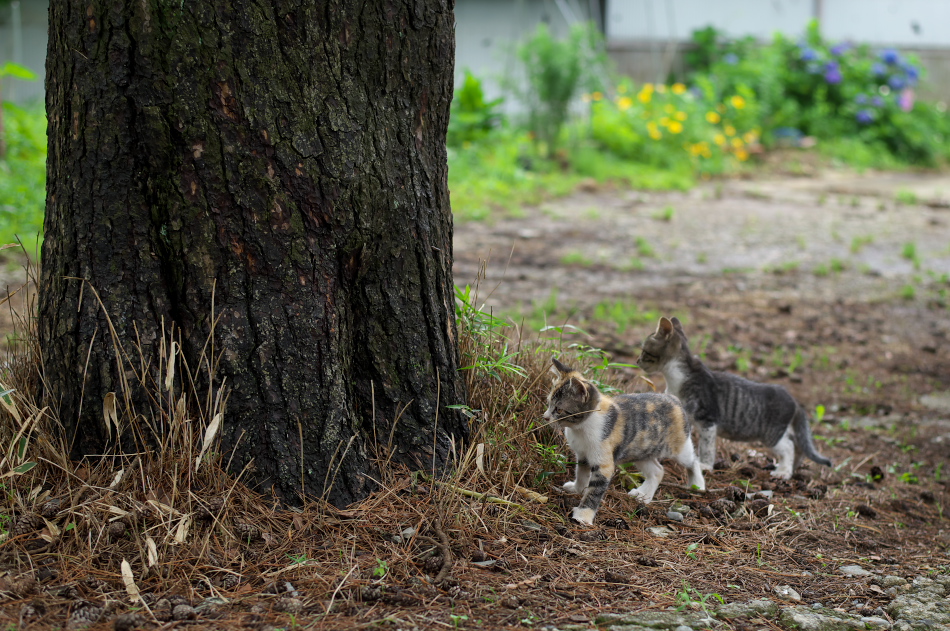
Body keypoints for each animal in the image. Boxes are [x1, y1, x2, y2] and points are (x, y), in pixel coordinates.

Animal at [544, 358, 708, 524]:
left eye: (558, 409)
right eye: (549, 403)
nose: (545, 417)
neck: (581, 428)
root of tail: (673, 398)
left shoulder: (604, 464)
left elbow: (594, 491)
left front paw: (583, 515)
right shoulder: (583, 454)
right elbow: (581, 473)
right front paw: (577, 489)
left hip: (679, 448)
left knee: (693, 461)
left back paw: (698, 484)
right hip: (641, 452)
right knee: (658, 470)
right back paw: (644, 495)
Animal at [640, 316, 832, 478]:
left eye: (644, 351)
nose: (637, 361)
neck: (675, 377)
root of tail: (795, 401)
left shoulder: (708, 420)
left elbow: (707, 447)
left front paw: (705, 465)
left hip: (772, 433)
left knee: (789, 447)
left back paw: (783, 472)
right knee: (799, 447)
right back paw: (791, 470)